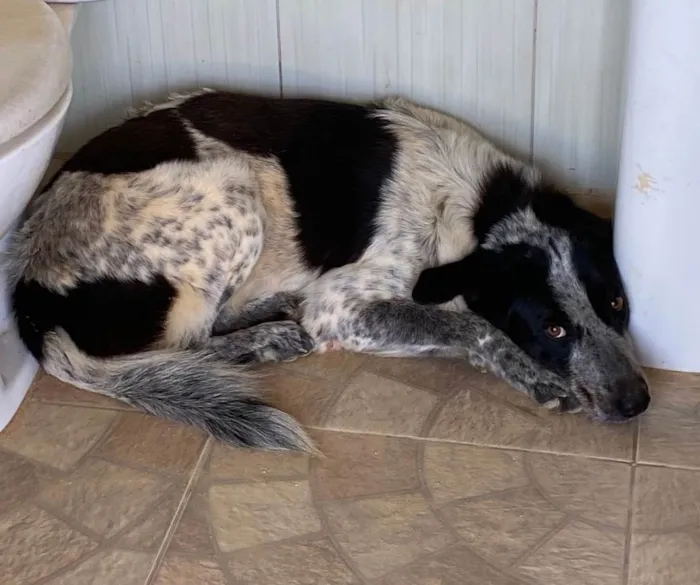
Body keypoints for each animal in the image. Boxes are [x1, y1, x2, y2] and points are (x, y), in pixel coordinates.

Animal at [6, 91, 652, 450]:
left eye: (618, 305)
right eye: (554, 329)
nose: (638, 402)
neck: (482, 205)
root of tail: (27, 286)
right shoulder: (341, 306)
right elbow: (470, 326)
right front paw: (532, 373)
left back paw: (273, 313)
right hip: (232, 191)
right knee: (187, 341)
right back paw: (271, 337)